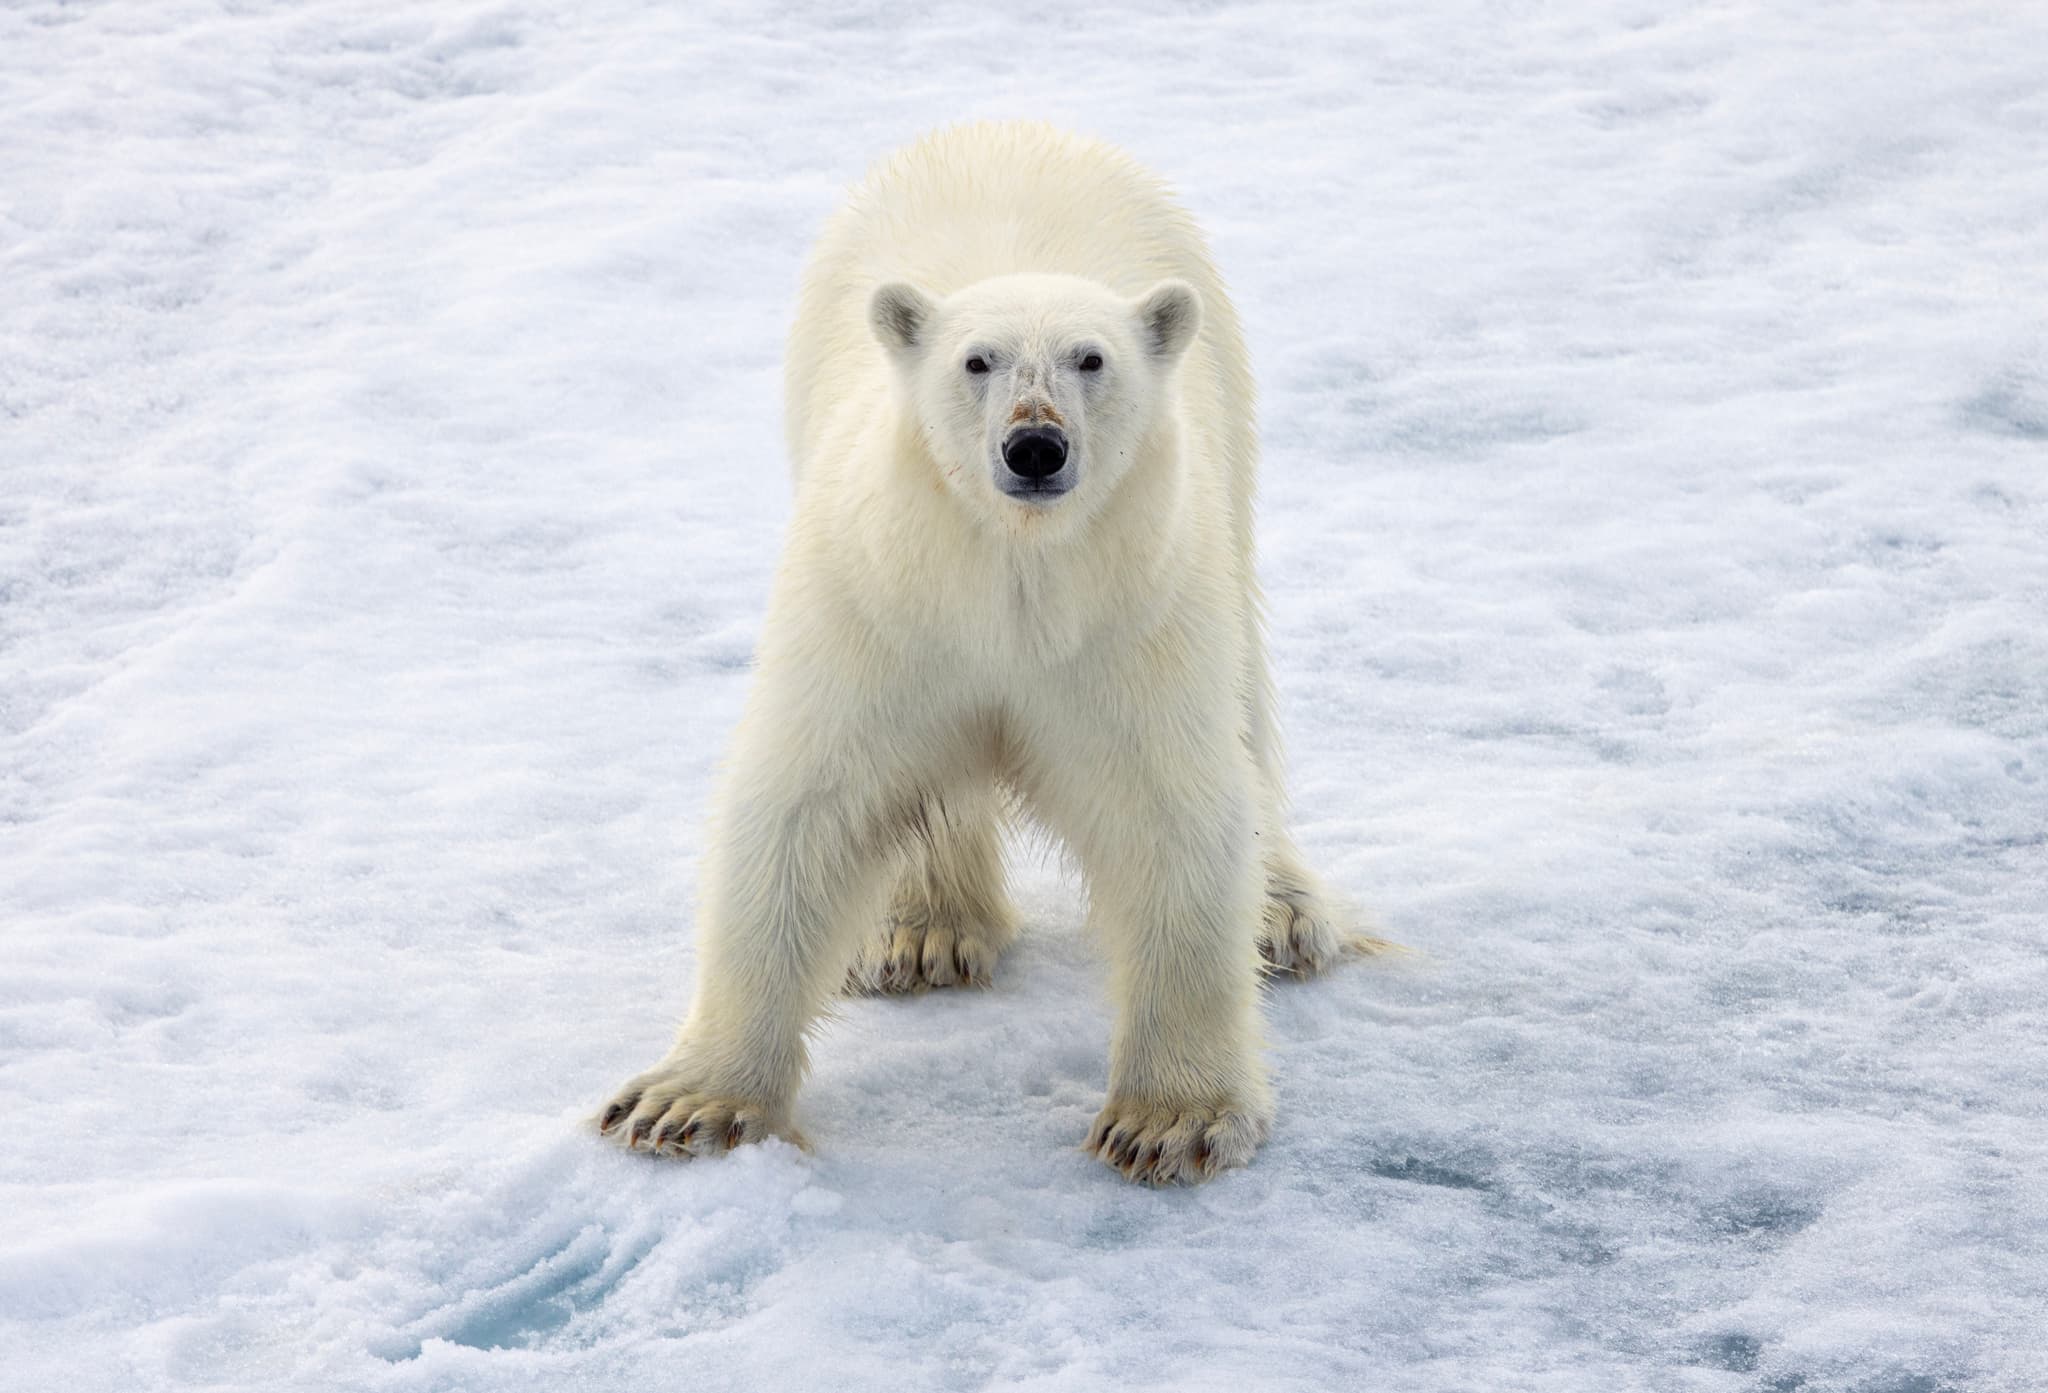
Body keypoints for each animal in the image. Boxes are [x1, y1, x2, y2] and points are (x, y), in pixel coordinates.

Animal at [599, 121, 1364, 1185]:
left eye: (1091, 358)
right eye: (977, 361)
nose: (1034, 446)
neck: (1012, 575)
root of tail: (1014, 124)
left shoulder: (1129, 620)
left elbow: (1172, 808)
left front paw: (1169, 1120)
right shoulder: (883, 604)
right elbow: (804, 799)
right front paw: (686, 1100)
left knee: (1246, 701)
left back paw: (1286, 916)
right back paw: (920, 930)